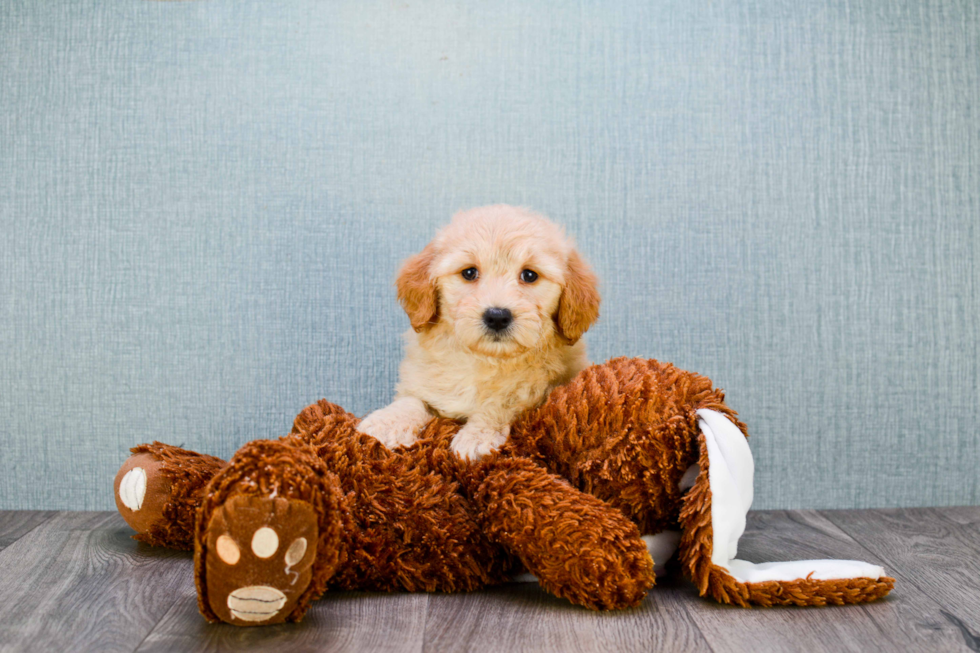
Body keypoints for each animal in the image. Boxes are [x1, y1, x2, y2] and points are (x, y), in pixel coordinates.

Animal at [356, 206, 600, 460]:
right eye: (469, 273)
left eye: (530, 275)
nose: (497, 316)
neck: (484, 361)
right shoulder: (421, 382)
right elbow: (411, 400)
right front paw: (385, 422)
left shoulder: (542, 391)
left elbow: (502, 404)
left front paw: (477, 437)